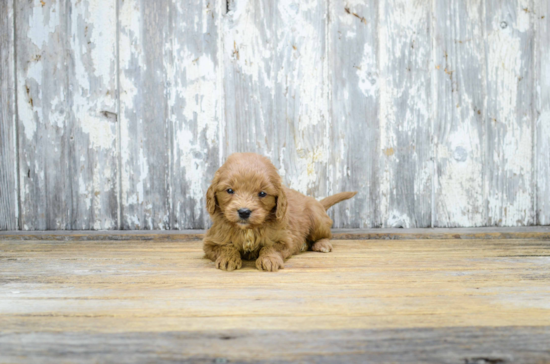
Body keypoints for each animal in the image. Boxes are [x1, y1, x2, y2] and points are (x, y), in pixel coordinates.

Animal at [203, 152, 358, 272]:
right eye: (229, 190)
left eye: (262, 193)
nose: (244, 212)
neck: (248, 229)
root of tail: (316, 202)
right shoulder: (211, 241)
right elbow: (226, 247)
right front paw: (228, 258)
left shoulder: (284, 239)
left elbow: (270, 247)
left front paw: (269, 259)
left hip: (316, 219)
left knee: (326, 235)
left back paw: (322, 244)